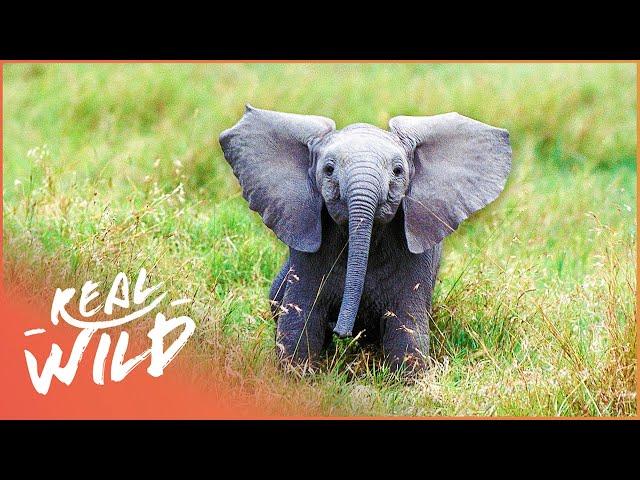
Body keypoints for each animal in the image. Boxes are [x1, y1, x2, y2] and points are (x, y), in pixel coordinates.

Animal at [218, 105, 512, 374]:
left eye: (397, 171)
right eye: (328, 169)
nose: (342, 332)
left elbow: (405, 325)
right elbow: (302, 318)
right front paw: (295, 377)